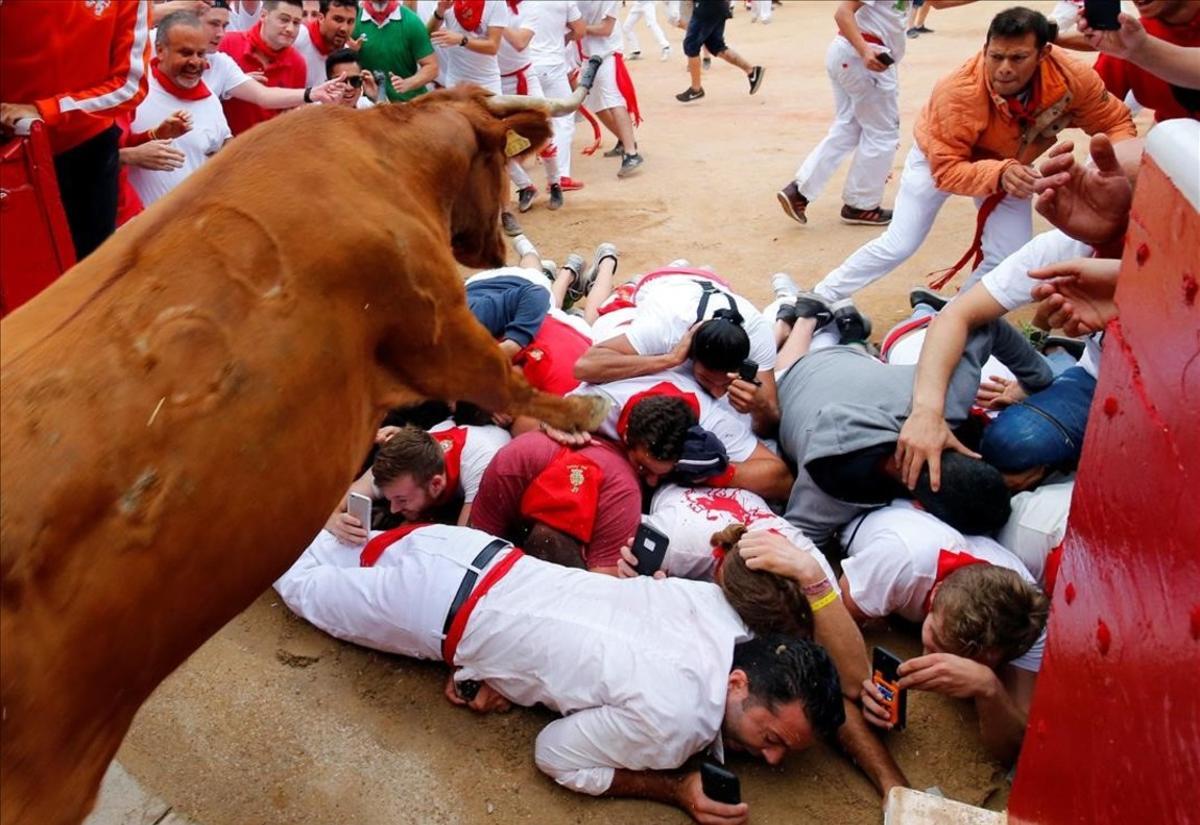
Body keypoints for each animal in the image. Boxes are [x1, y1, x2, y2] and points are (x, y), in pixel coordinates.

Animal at [0, 82, 600, 820]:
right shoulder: (438, 324)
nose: (505, 237)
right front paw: (580, 413)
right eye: (498, 164)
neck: (384, 154)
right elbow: (502, 374)